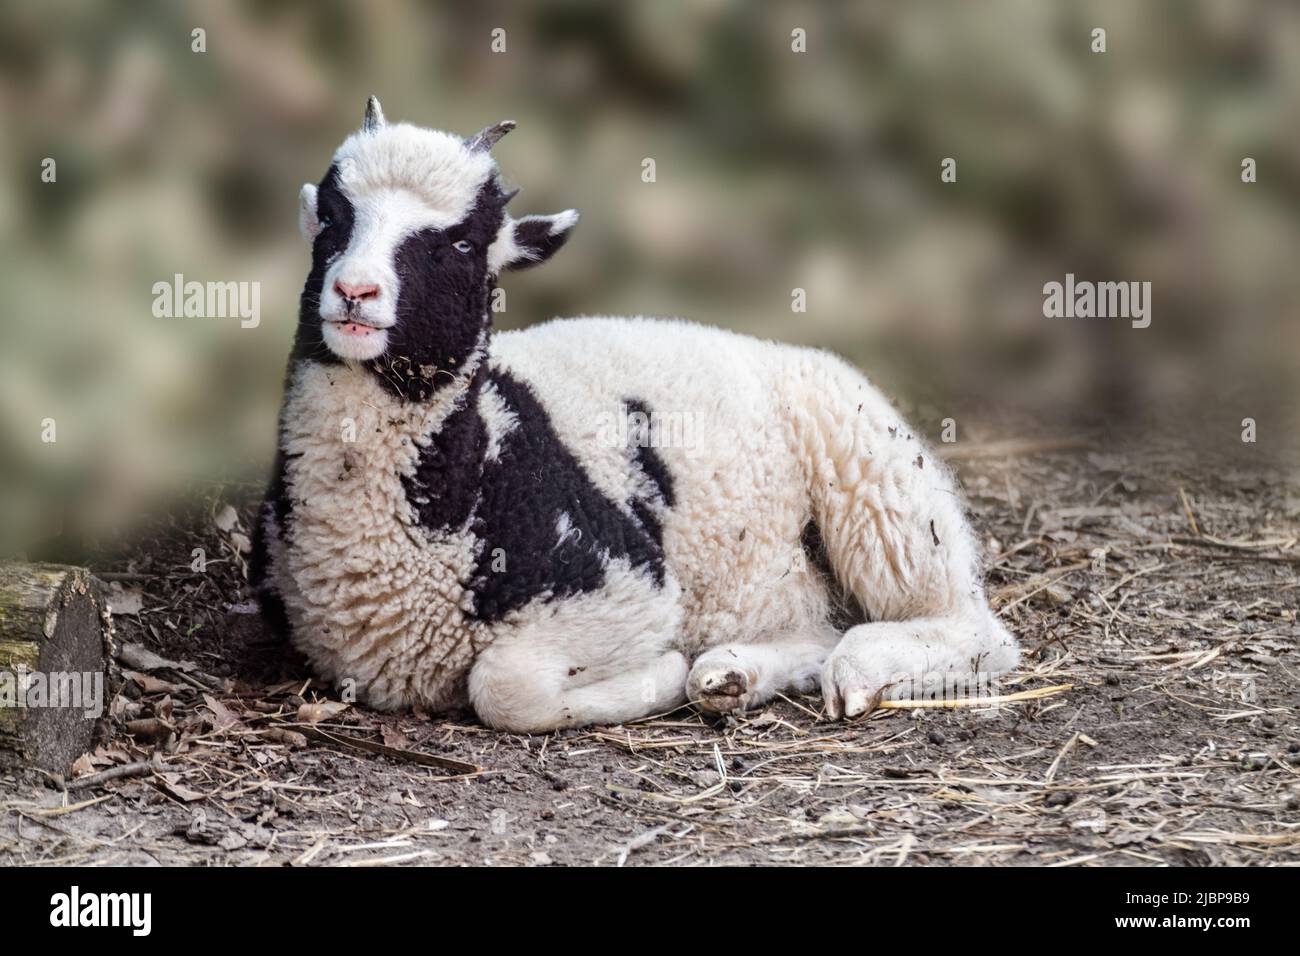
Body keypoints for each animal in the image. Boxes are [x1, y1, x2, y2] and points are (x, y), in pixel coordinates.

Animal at [250, 97, 1019, 732]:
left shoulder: (625, 587)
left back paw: (852, 669)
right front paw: (693, 674)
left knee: (971, 627)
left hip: (874, 475)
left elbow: (505, 687)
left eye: (463, 243)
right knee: (816, 629)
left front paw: (658, 675)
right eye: (332, 218)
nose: (354, 292)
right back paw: (732, 674)